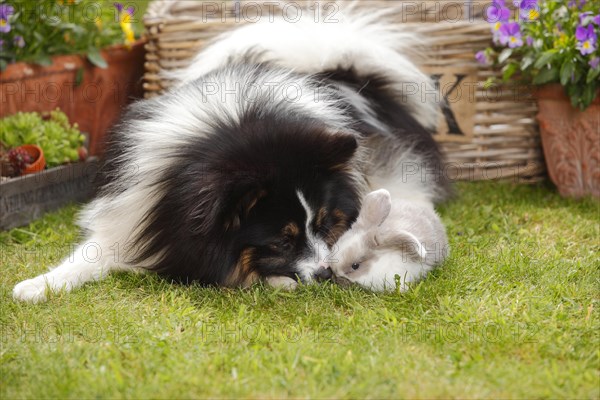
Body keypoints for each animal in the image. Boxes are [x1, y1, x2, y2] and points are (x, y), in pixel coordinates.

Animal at [11, 7, 450, 304]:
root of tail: (340, 74)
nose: (328, 273)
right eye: (282, 241)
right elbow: (88, 255)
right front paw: (35, 286)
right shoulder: (137, 213)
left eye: (325, 224)